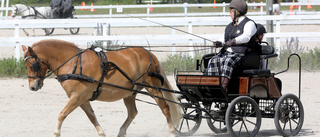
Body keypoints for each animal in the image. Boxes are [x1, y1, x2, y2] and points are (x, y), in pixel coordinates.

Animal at [21, 39, 182, 136]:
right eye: (26, 66)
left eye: (32, 65)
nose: (32, 87)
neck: (72, 62)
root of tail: (149, 54)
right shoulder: (83, 99)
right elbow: (92, 117)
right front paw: (102, 133)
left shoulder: (77, 97)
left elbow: (62, 114)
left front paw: (56, 133)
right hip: (130, 93)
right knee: (132, 113)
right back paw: (121, 132)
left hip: (153, 88)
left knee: (165, 108)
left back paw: (172, 132)